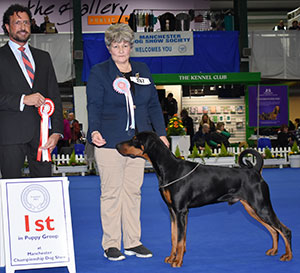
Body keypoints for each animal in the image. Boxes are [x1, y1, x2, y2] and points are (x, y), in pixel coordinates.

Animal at [116, 131, 292, 266]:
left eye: (135, 139)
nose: (117, 146)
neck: (169, 168)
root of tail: (255, 171)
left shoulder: (181, 211)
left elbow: (180, 239)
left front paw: (178, 262)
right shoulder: (173, 211)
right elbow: (174, 237)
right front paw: (172, 258)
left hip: (261, 206)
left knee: (284, 230)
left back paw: (288, 256)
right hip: (252, 208)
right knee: (273, 230)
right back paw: (274, 250)